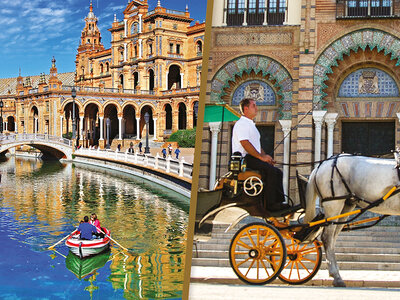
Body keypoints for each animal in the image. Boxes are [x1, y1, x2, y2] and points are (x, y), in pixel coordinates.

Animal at [304, 154, 400, 288]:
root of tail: (321, 165)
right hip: (334, 204)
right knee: (327, 237)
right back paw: (336, 276)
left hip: (346, 206)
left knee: (333, 238)